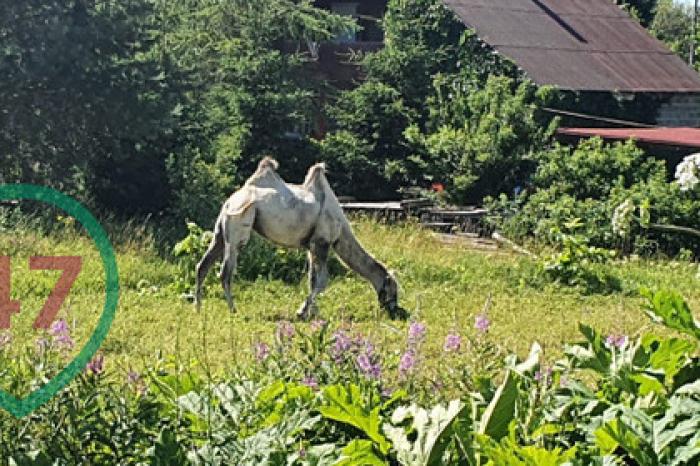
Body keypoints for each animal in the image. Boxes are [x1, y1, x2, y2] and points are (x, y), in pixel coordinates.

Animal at [193, 157, 400, 320]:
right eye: (394, 289)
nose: (396, 311)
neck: (341, 230)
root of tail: (230, 201)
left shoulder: (311, 246)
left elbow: (312, 279)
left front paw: (312, 312)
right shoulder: (322, 242)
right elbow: (322, 281)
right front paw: (302, 312)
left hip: (220, 233)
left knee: (202, 266)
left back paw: (198, 307)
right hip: (239, 228)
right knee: (225, 272)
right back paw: (233, 310)